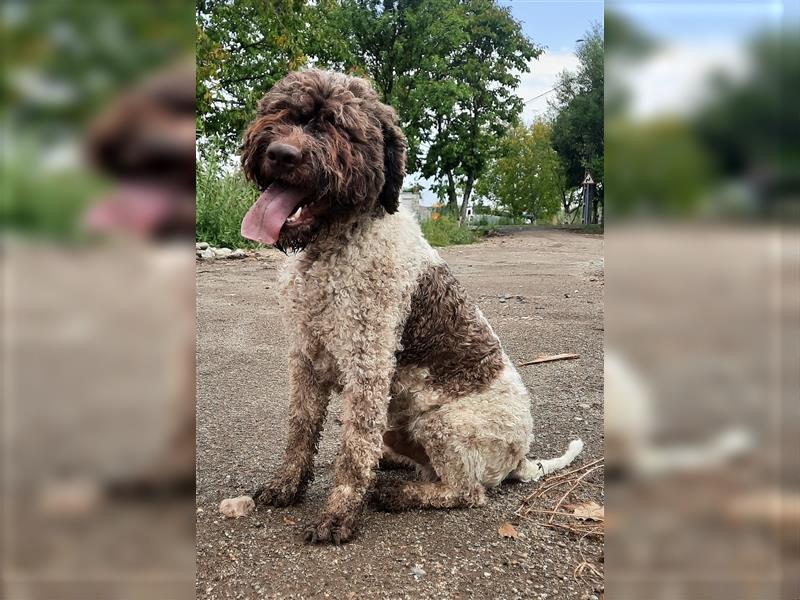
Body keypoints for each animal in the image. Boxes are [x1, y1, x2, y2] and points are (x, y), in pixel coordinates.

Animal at [238, 69, 580, 544]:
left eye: (340, 127)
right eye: (283, 111)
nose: (281, 154)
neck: (333, 244)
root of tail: (521, 459)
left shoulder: (368, 364)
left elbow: (354, 451)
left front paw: (339, 514)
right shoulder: (305, 356)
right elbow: (301, 429)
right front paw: (287, 484)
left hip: (445, 424)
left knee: (467, 491)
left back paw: (399, 493)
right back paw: (391, 463)